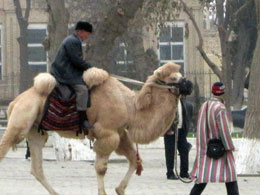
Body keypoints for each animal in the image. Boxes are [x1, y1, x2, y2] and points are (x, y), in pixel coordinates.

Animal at [0, 62, 183, 195]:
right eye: (174, 77)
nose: (188, 85)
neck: (130, 107)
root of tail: (14, 102)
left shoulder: (119, 134)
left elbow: (134, 159)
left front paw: (120, 189)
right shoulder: (107, 133)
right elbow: (101, 168)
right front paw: (104, 193)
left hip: (35, 131)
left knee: (37, 168)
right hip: (20, 122)